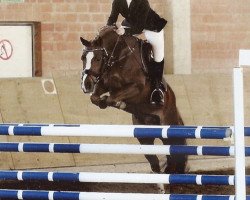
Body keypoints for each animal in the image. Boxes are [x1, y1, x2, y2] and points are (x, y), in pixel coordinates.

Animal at [79, 26, 186, 177]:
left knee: (173, 151)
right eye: (83, 58)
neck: (118, 56)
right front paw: (105, 102)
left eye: (98, 58)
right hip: (144, 136)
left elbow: (112, 97)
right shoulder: (104, 84)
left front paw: (116, 103)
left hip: (167, 127)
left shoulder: (136, 87)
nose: (86, 85)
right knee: (154, 158)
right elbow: (94, 98)